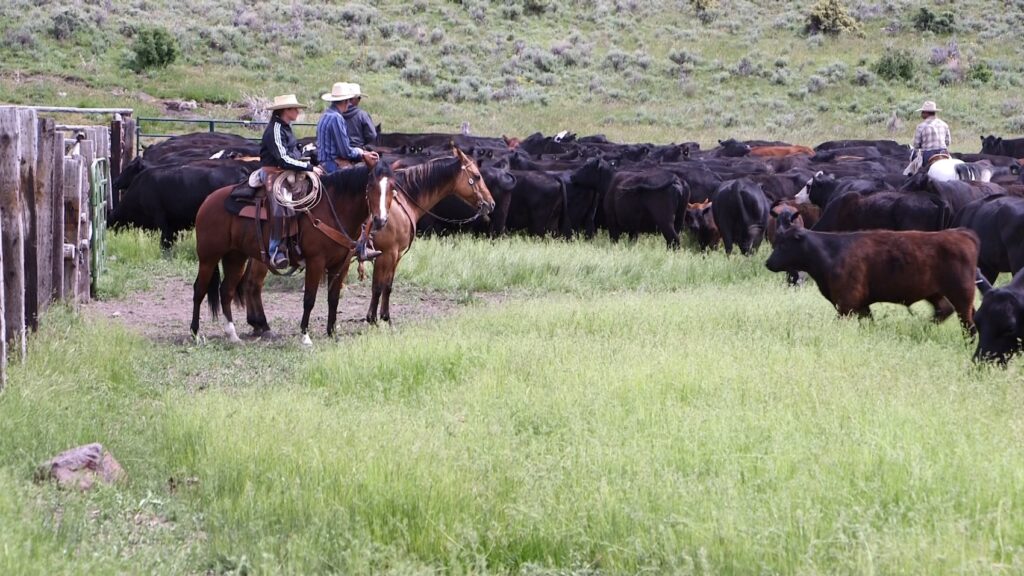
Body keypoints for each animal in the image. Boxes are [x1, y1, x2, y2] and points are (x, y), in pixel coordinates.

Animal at [190, 163, 390, 345]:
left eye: (392, 188)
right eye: (370, 186)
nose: (380, 221)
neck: (333, 210)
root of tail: (208, 200)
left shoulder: (341, 263)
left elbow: (333, 299)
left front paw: (333, 333)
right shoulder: (316, 261)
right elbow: (309, 299)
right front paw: (305, 336)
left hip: (236, 257)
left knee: (227, 290)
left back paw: (233, 335)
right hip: (208, 257)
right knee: (200, 289)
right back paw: (196, 334)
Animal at [365, 146, 495, 324]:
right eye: (477, 176)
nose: (491, 203)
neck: (399, 204)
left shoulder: (396, 255)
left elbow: (388, 285)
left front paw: (386, 317)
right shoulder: (385, 254)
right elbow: (377, 286)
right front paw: (372, 319)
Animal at [766, 227, 980, 330]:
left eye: (783, 244)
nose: (768, 263)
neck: (831, 251)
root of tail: (960, 233)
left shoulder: (847, 303)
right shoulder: (861, 305)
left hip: (962, 295)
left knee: (968, 324)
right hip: (935, 292)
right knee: (944, 310)